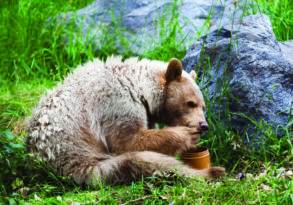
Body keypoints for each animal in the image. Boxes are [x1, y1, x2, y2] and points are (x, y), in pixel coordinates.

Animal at [26, 56, 224, 186]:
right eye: (190, 103)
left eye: (203, 106)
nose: (203, 125)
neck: (140, 88)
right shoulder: (115, 105)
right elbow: (129, 141)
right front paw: (186, 135)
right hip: (79, 155)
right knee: (142, 162)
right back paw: (210, 172)